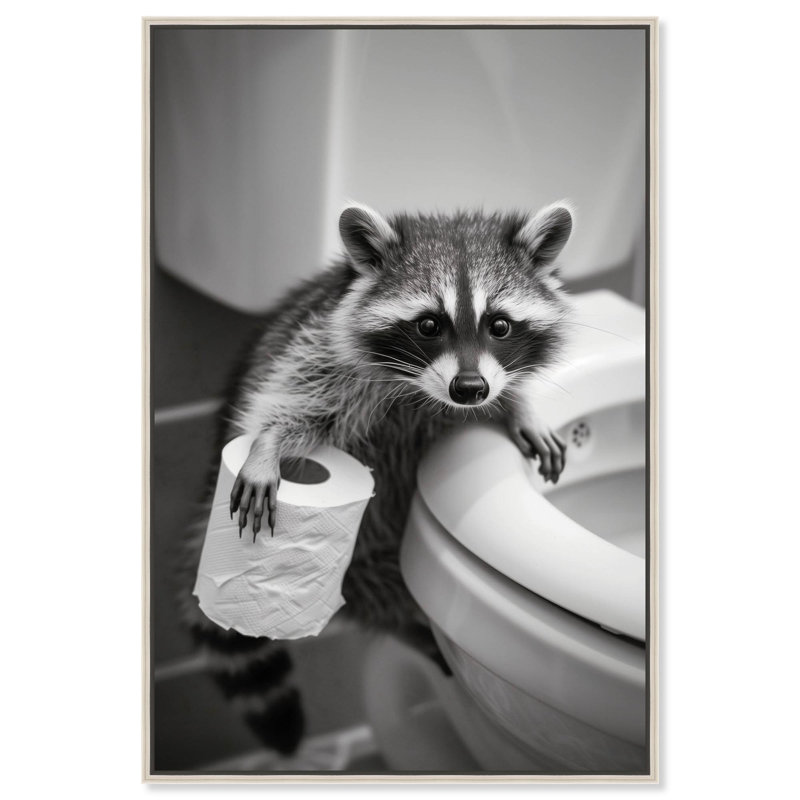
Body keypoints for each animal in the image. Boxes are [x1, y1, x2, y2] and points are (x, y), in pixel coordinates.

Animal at [177, 201, 573, 756]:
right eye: (428, 325)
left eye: (500, 325)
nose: (469, 388)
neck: (426, 396)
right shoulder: (322, 349)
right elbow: (295, 401)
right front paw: (268, 443)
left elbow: (504, 391)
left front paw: (519, 408)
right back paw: (411, 630)